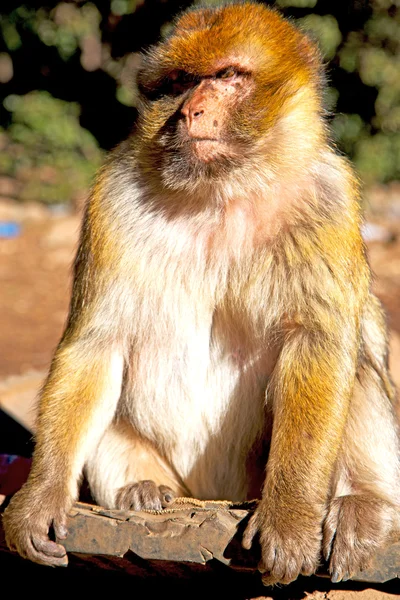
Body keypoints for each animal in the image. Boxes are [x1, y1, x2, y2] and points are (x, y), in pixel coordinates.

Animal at [3, 0, 400, 584]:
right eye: (181, 82)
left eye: (228, 76)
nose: (191, 111)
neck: (221, 191)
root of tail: (214, 492)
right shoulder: (111, 197)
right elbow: (97, 343)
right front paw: (40, 497)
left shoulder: (330, 198)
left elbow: (319, 341)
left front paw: (290, 516)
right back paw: (140, 487)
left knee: (360, 351)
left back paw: (359, 504)